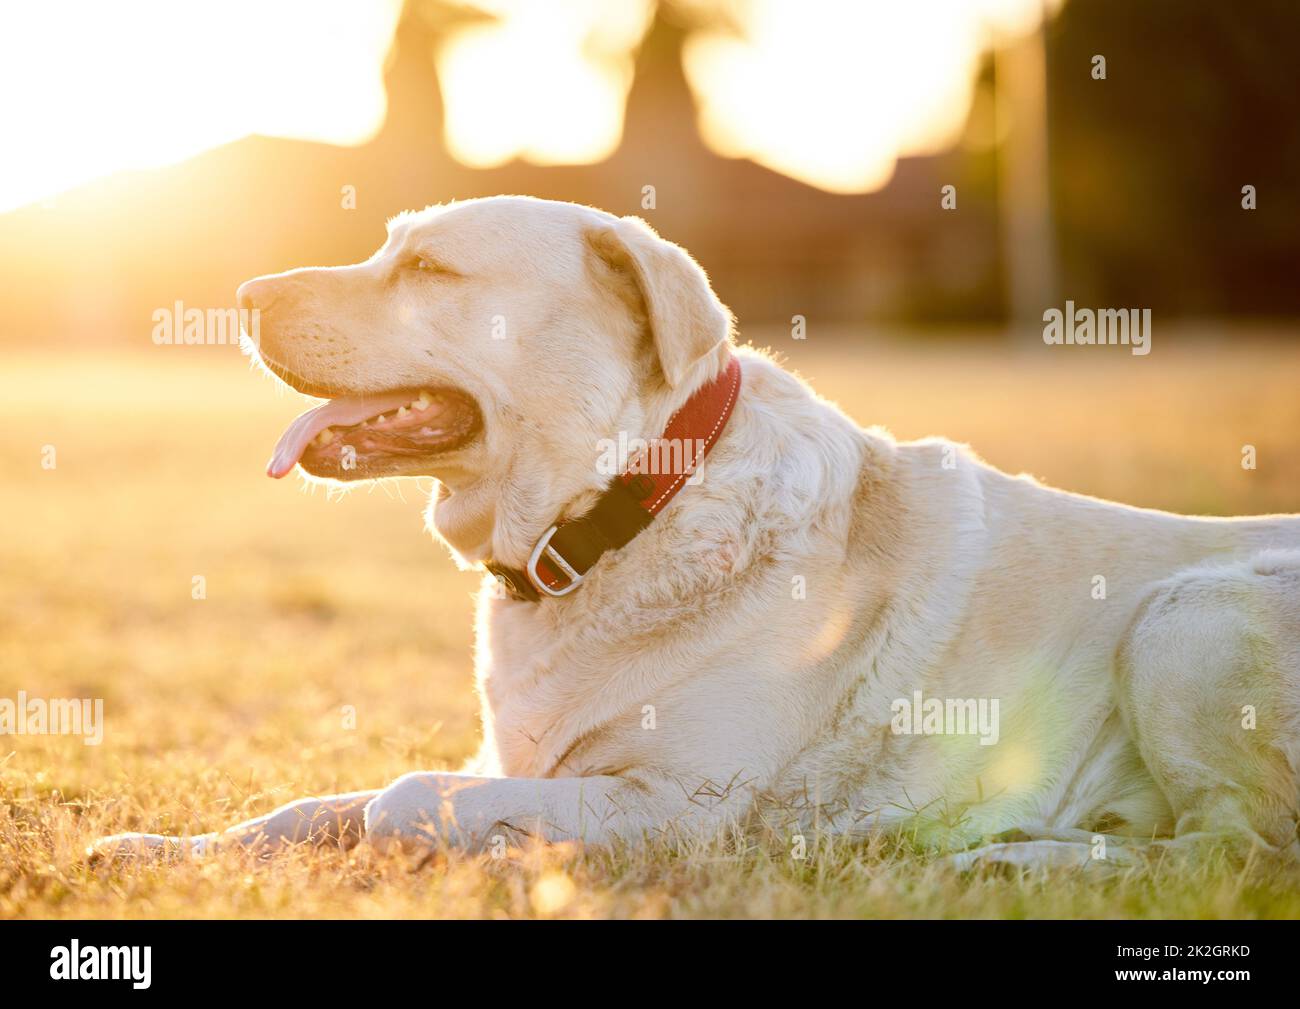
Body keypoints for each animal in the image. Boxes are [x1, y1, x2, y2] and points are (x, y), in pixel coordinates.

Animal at [91, 197, 1300, 868]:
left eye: (430, 268)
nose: (245, 292)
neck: (620, 514)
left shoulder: (677, 805)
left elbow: (398, 801)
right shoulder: (511, 760)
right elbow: (310, 805)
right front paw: (165, 848)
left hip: (1188, 614)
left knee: (1230, 849)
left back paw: (1014, 862)